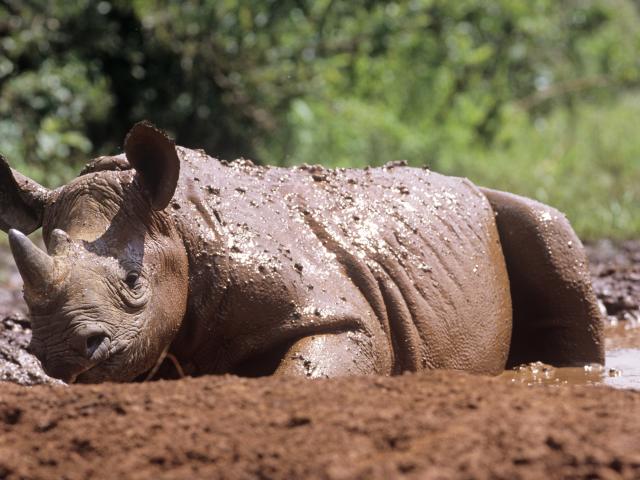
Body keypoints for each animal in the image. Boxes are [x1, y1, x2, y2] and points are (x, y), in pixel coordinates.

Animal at [0, 122, 603, 383]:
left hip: (494, 205)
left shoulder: (343, 312)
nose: (60, 353)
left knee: (543, 223)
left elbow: (303, 373)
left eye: (132, 283)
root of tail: (460, 181)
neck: (178, 225)